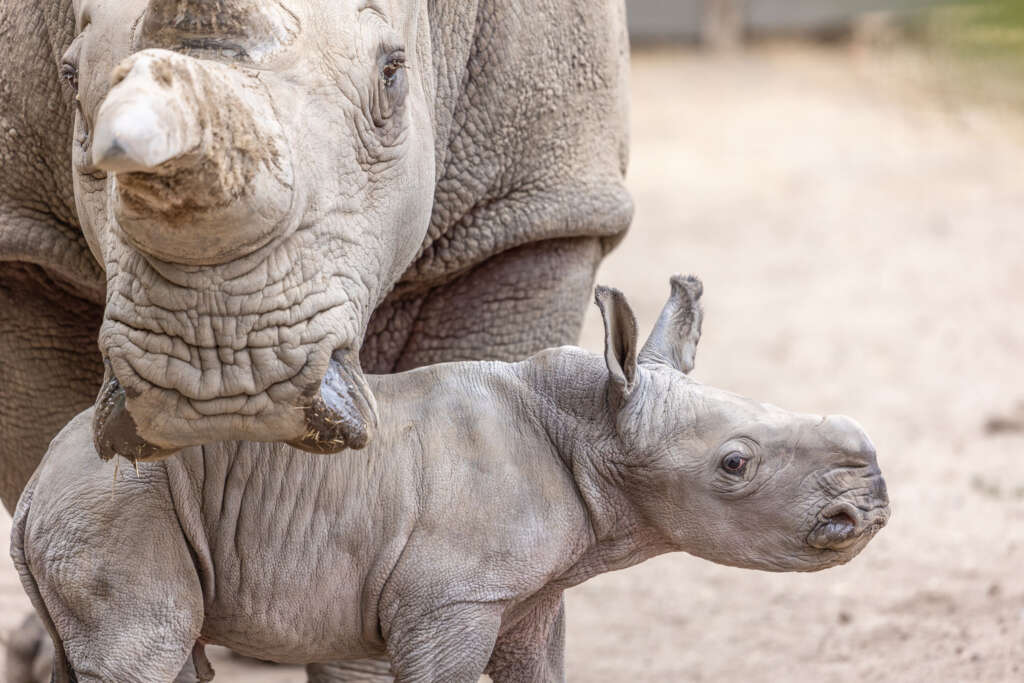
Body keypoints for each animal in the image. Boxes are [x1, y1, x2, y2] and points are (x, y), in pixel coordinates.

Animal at [11, 277, 891, 683]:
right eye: (735, 464)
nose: (869, 504)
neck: (592, 423)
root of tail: (30, 493)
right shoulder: (450, 600)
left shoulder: (528, 597)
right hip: (115, 510)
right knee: (147, 649)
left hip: (95, 509)